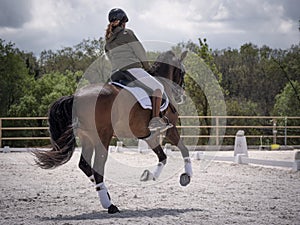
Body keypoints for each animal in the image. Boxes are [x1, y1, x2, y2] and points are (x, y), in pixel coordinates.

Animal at [32, 50, 192, 214]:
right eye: (183, 72)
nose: (182, 96)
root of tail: (76, 96)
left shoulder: (147, 135)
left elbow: (163, 156)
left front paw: (149, 176)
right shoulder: (170, 129)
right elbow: (183, 149)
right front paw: (186, 176)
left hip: (87, 138)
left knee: (85, 165)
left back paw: (105, 194)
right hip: (102, 137)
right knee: (97, 168)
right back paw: (110, 205)